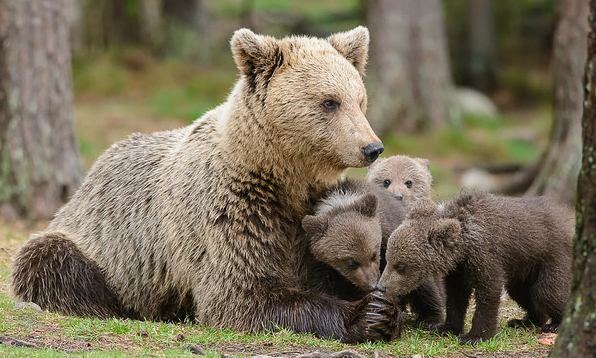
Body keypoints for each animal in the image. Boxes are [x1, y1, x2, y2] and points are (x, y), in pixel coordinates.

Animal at [9, 27, 398, 342]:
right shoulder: (230, 210)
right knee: (48, 260)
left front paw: (382, 307)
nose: (372, 147)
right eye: (329, 102)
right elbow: (240, 292)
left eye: (359, 100)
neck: (280, 175)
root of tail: (89, 177)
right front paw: (367, 313)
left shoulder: (309, 211)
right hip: (98, 245)